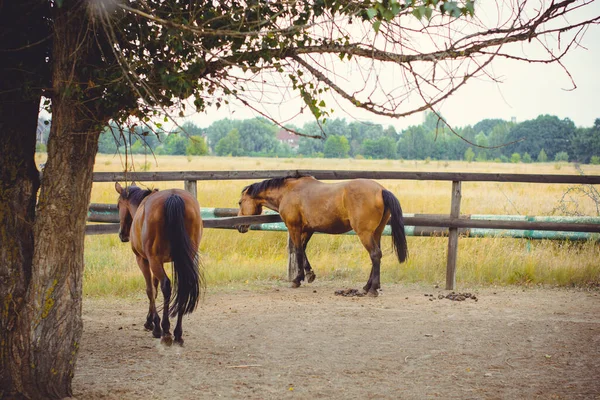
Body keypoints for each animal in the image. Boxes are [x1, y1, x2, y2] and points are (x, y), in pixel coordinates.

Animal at [115, 183, 204, 346]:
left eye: (118, 205)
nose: (122, 234)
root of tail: (173, 197)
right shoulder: (159, 262)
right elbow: (155, 289)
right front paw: (151, 321)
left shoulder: (144, 260)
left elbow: (150, 290)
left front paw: (154, 325)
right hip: (184, 257)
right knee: (183, 286)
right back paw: (178, 333)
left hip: (153, 260)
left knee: (166, 286)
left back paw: (166, 331)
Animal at [234, 175, 408, 296]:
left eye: (240, 202)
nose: (239, 225)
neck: (289, 192)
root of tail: (381, 190)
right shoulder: (308, 229)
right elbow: (303, 249)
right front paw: (310, 274)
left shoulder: (294, 227)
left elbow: (297, 250)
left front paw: (297, 279)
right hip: (376, 233)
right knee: (376, 256)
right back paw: (367, 287)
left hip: (364, 234)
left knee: (375, 255)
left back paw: (372, 289)